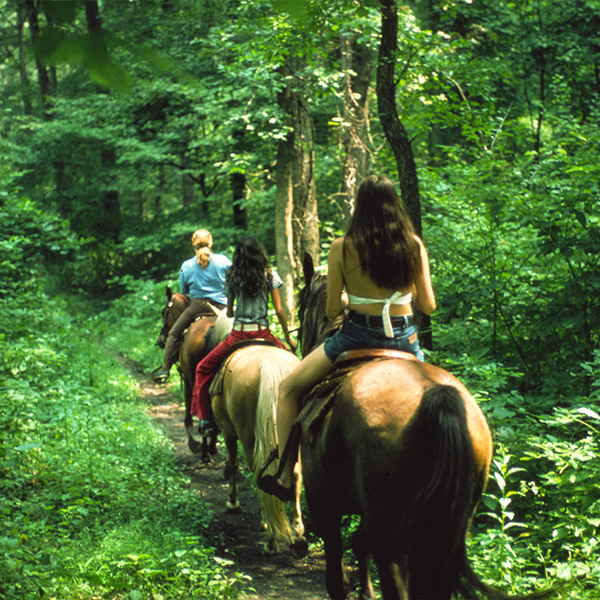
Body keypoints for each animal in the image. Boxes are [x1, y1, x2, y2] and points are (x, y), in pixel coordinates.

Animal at [156, 288, 219, 458]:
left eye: (164, 312)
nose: (160, 341)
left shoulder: (187, 379)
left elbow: (188, 414)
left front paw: (193, 443)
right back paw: (211, 446)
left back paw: (204, 451)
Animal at [211, 342, 308, 556]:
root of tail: (271, 364)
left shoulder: (227, 431)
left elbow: (232, 464)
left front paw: (233, 502)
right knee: (296, 475)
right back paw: (298, 537)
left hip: (248, 436)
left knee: (258, 474)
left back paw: (271, 540)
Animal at [296, 255, 552, 600]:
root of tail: (437, 395)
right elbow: (358, 544)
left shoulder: (324, 504)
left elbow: (338, 575)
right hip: (446, 526)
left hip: (391, 532)